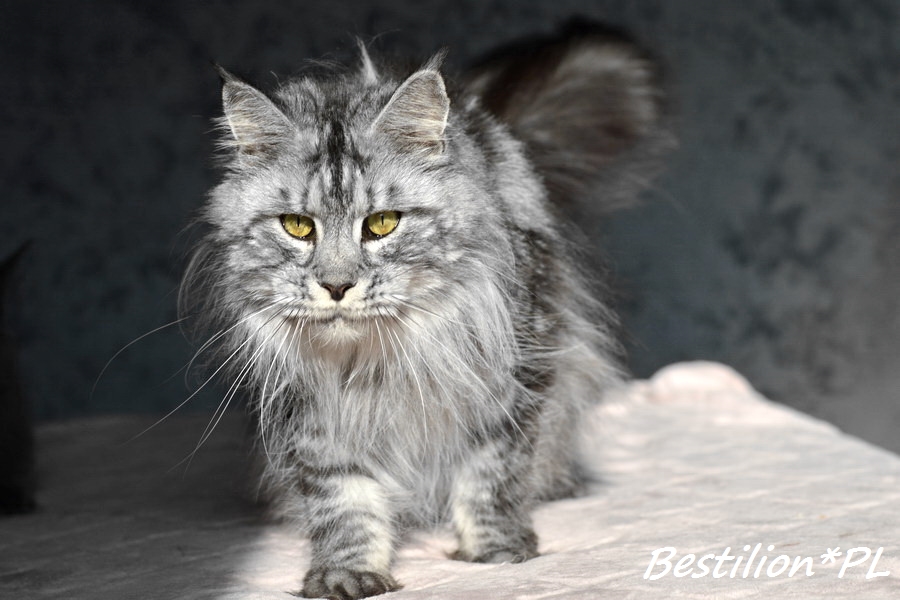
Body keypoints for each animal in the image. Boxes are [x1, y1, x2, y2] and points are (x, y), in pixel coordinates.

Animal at [181, 21, 666, 599]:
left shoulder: (515, 376)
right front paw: (347, 574)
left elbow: (490, 476)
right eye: (298, 226)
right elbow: (344, 502)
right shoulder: (312, 411)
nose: (337, 285)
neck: (373, 361)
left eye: (382, 224)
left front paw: (497, 552)